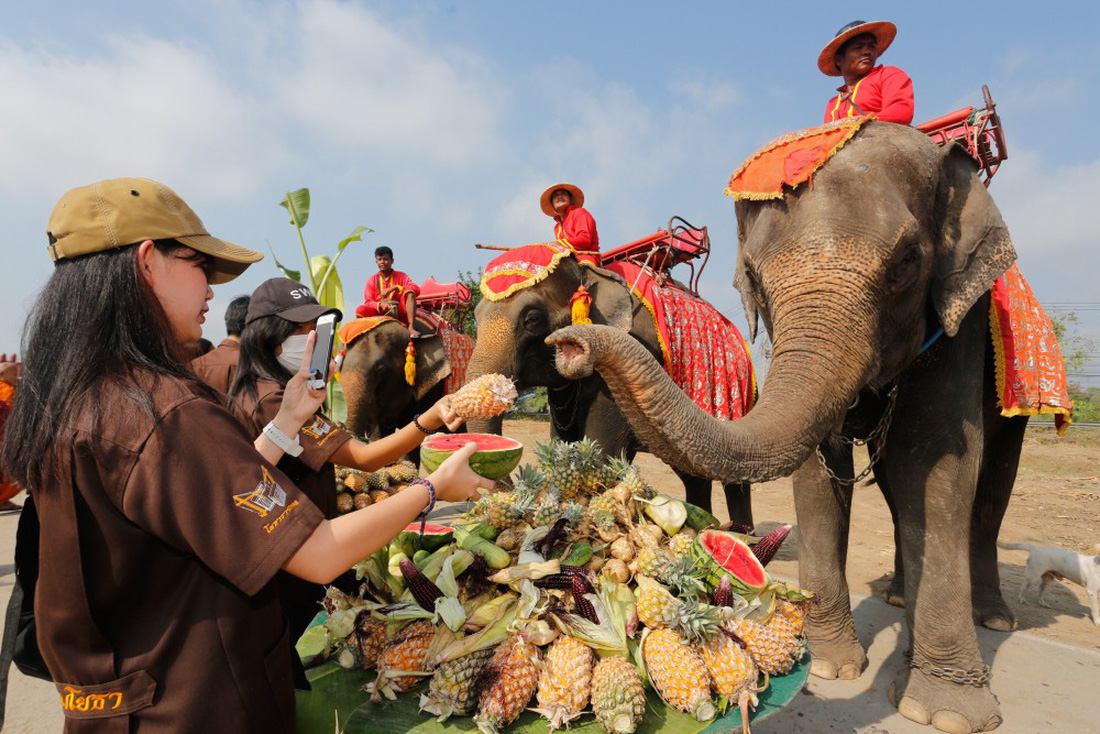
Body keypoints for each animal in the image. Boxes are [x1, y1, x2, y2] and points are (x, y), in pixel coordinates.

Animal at [459, 255, 752, 526]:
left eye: (532, 318)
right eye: (476, 317)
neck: (589, 272)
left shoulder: (625, 359)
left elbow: (603, 449)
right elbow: (562, 440)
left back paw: (742, 534)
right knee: (693, 474)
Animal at [550, 122, 1020, 734]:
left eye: (907, 262)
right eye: (751, 275)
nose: (568, 345)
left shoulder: (961, 316)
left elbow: (937, 461)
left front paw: (943, 713)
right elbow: (820, 471)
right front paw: (830, 667)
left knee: (991, 478)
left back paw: (992, 618)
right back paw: (897, 597)